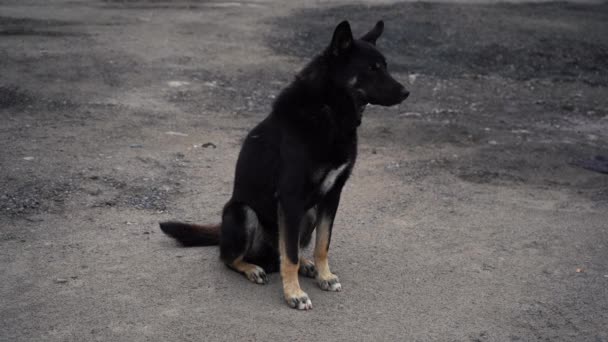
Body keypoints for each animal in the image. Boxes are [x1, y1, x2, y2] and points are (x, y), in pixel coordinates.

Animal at [160, 20, 408, 312]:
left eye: (385, 66)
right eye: (371, 69)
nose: (406, 92)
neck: (330, 111)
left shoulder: (331, 196)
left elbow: (322, 244)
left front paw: (324, 275)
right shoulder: (291, 198)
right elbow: (289, 256)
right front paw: (294, 294)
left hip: (307, 214)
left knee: (282, 252)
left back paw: (305, 266)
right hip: (242, 213)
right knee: (230, 258)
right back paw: (253, 268)